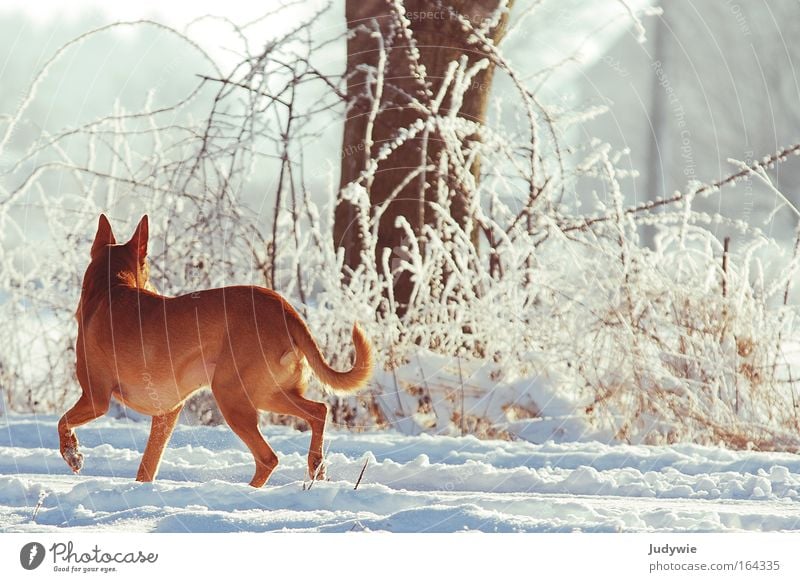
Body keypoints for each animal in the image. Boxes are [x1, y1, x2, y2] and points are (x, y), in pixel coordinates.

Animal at [58, 214, 372, 488]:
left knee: (268, 457)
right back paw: (316, 466)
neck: (112, 288)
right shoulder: (166, 414)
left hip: (231, 395)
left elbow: (63, 423)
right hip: (266, 393)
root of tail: (285, 309)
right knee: (319, 410)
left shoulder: (96, 399)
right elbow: (148, 465)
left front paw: (72, 454)